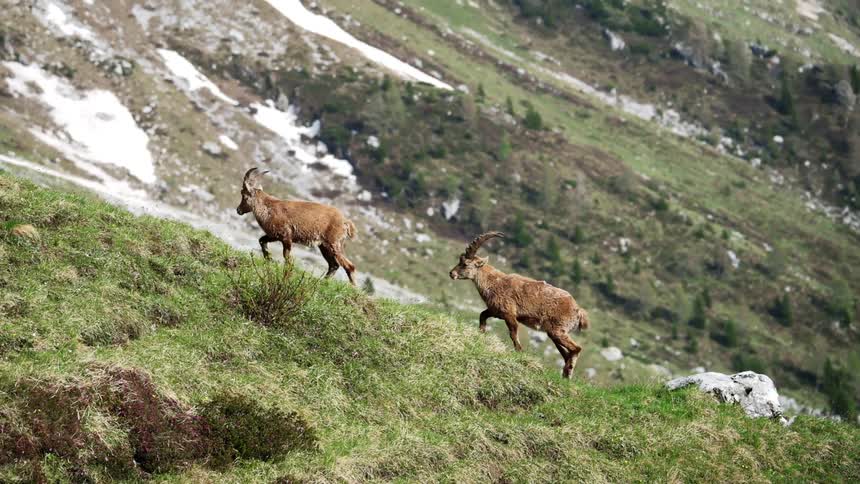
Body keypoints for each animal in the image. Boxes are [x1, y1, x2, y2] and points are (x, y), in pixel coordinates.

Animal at [449, 232, 590, 378]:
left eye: (465, 264)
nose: (451, 273)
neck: (494, 282)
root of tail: (578, 310)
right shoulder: (496, 311)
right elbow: (482, 315)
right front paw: (481, 333)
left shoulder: (509, 313)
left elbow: (513, 332)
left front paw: (520, 352)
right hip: (554, 332)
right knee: (566, 353)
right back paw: (565, 373)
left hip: (558, 330)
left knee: (577, 348)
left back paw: (568, 372)